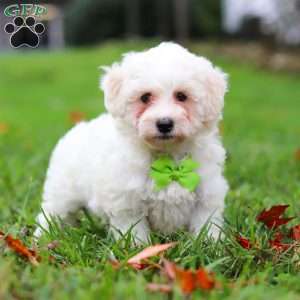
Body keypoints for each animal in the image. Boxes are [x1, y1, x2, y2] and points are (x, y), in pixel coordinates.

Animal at [34, 42, 227, 243]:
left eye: (181, 96)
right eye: (145, 97)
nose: (164, 123)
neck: (166, 156)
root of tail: (77, 129)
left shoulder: (206, 194)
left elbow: (206, 223)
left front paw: (210, 243)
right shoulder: (127, 201)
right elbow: (134, 231)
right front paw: (139, 248)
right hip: (63, 192)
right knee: (52, 213)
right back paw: (42, 238)